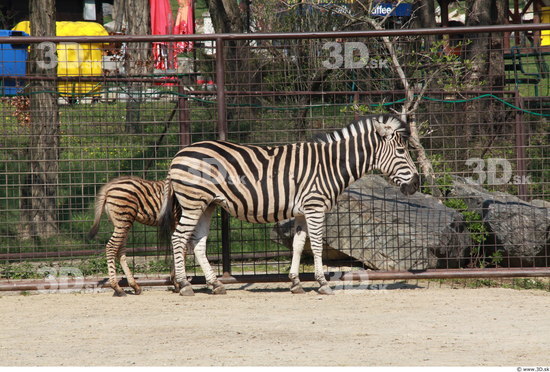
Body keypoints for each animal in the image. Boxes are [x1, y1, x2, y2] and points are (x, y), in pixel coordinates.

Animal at [162, 112, 420, 294]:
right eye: (401, 151)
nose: (416, 184)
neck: (331, 165)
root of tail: (178, 154)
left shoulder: (302, 212)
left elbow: (298, 245)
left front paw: (296, 283)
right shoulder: (316, 207)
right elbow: (316, 246)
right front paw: (323, 283)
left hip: (207, 205)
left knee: (197, 243)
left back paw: (215, 285)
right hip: (193, 202)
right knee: (178, 238)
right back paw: (185, 285)